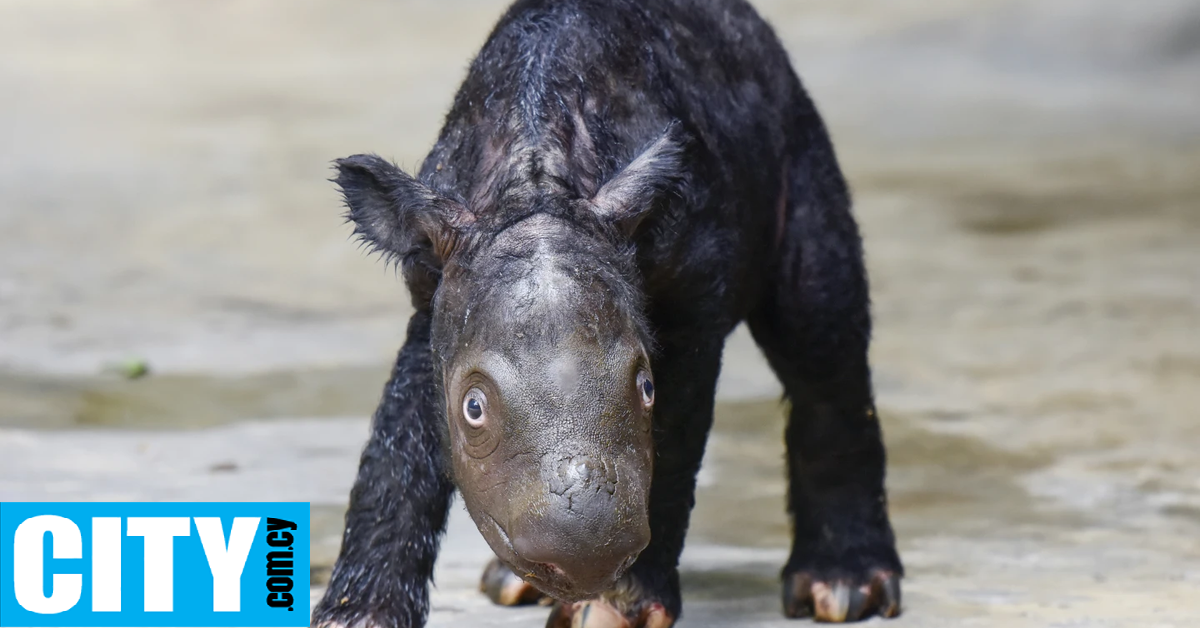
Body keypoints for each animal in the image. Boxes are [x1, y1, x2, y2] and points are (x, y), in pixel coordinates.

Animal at [314, 0, 902, 624]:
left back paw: (842, 588)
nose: (582, 562)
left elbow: (674, 441)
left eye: (646, 386)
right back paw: (514, 584)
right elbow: (397, 446)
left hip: (799, 138)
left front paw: (612, 609)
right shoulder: (436, 289)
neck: (536, 183)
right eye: (472, 408)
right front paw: (355, 615)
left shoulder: (692, 295)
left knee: (820, 335)